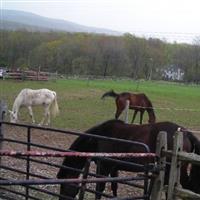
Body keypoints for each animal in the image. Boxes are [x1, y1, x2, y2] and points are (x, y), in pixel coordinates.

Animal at [56, 119, 200, 199]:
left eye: (63, 187)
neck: (98, 138)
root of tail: (186, 133)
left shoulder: (104, 167)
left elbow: (99, 189)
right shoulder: (113, 168)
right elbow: (114, 187)